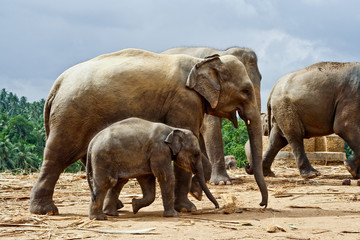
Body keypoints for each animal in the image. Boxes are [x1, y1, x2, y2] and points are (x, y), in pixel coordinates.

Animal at [86, 117, 219, 220]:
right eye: (196, 154)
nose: (217, 207)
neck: (172, 129)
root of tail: (92, 142)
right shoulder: (159, 150)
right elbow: (166, 177)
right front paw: (173, 215)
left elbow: (147, 180)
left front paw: (134, 205)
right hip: (103, 158)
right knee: (106, 182)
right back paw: (99, 218)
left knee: (118, 182)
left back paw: (111, 214)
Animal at [162, 46, 262, 193]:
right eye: (246, 91)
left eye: (261, 78)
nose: (247, 166)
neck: (220, 54)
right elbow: (212, 128)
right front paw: (222, 182)